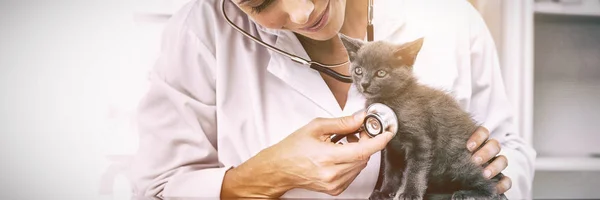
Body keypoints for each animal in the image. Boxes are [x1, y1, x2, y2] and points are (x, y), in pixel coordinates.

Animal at [342, 34, 506, 200]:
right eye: (358, 70)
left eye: (381, 73)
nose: (364, 83)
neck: (391, 101)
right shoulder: (392, 147)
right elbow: (391, 171)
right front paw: (385, 192)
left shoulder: (421, 141)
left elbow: (415, 170)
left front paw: (410, 193)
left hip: (459, 158)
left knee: (492, 187)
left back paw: (467, 193)